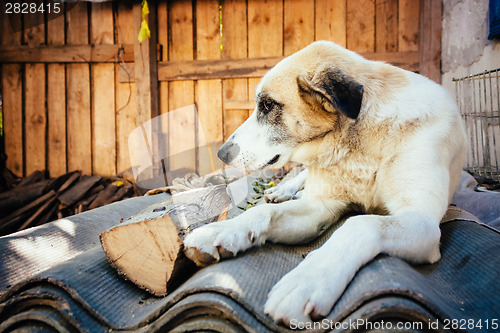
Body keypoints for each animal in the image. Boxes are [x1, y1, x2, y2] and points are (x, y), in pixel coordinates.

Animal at [184, 39, 468, 324]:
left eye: (267, 105)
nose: (221, 154)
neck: (358, 141)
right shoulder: (322, 206)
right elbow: (264, 212)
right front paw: (219, 231)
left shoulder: (423, 223)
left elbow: (361, 224)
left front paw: (307, 280)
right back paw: (283, 191)